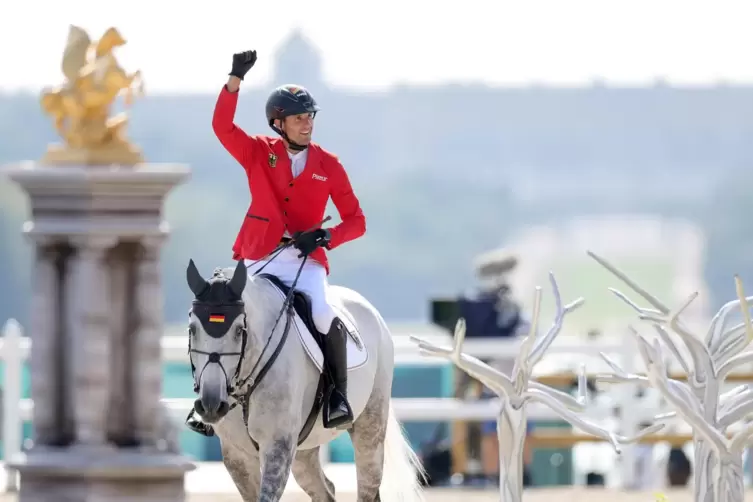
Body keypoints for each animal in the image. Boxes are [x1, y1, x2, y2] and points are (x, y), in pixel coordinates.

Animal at [183, 258, 424, 502]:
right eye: (192, 329)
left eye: (239, 330)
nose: (211, 405)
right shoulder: (237, 454)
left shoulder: (277, 446)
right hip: (303, 450)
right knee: (325, 490)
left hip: (370, 425)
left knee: (367, 484)